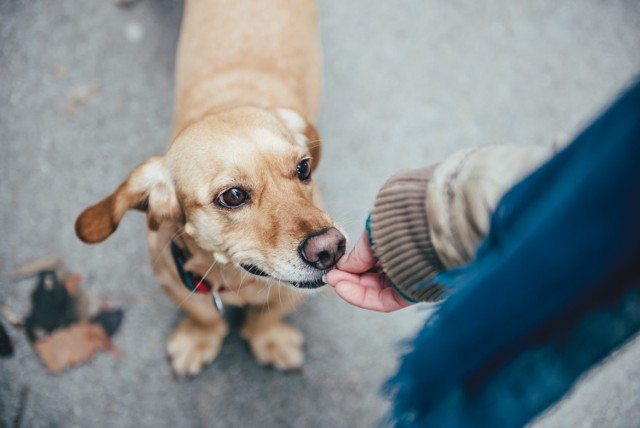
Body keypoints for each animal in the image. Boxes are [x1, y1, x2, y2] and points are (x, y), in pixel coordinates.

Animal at [75, 0, 344, 374]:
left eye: (303, 168)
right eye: (233, 196)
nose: (331, 248)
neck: (234, 280)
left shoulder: (293, 292)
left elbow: (267, 315)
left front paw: (269, 339)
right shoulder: (172, 279)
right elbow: (204, 316)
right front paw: (199, 338)